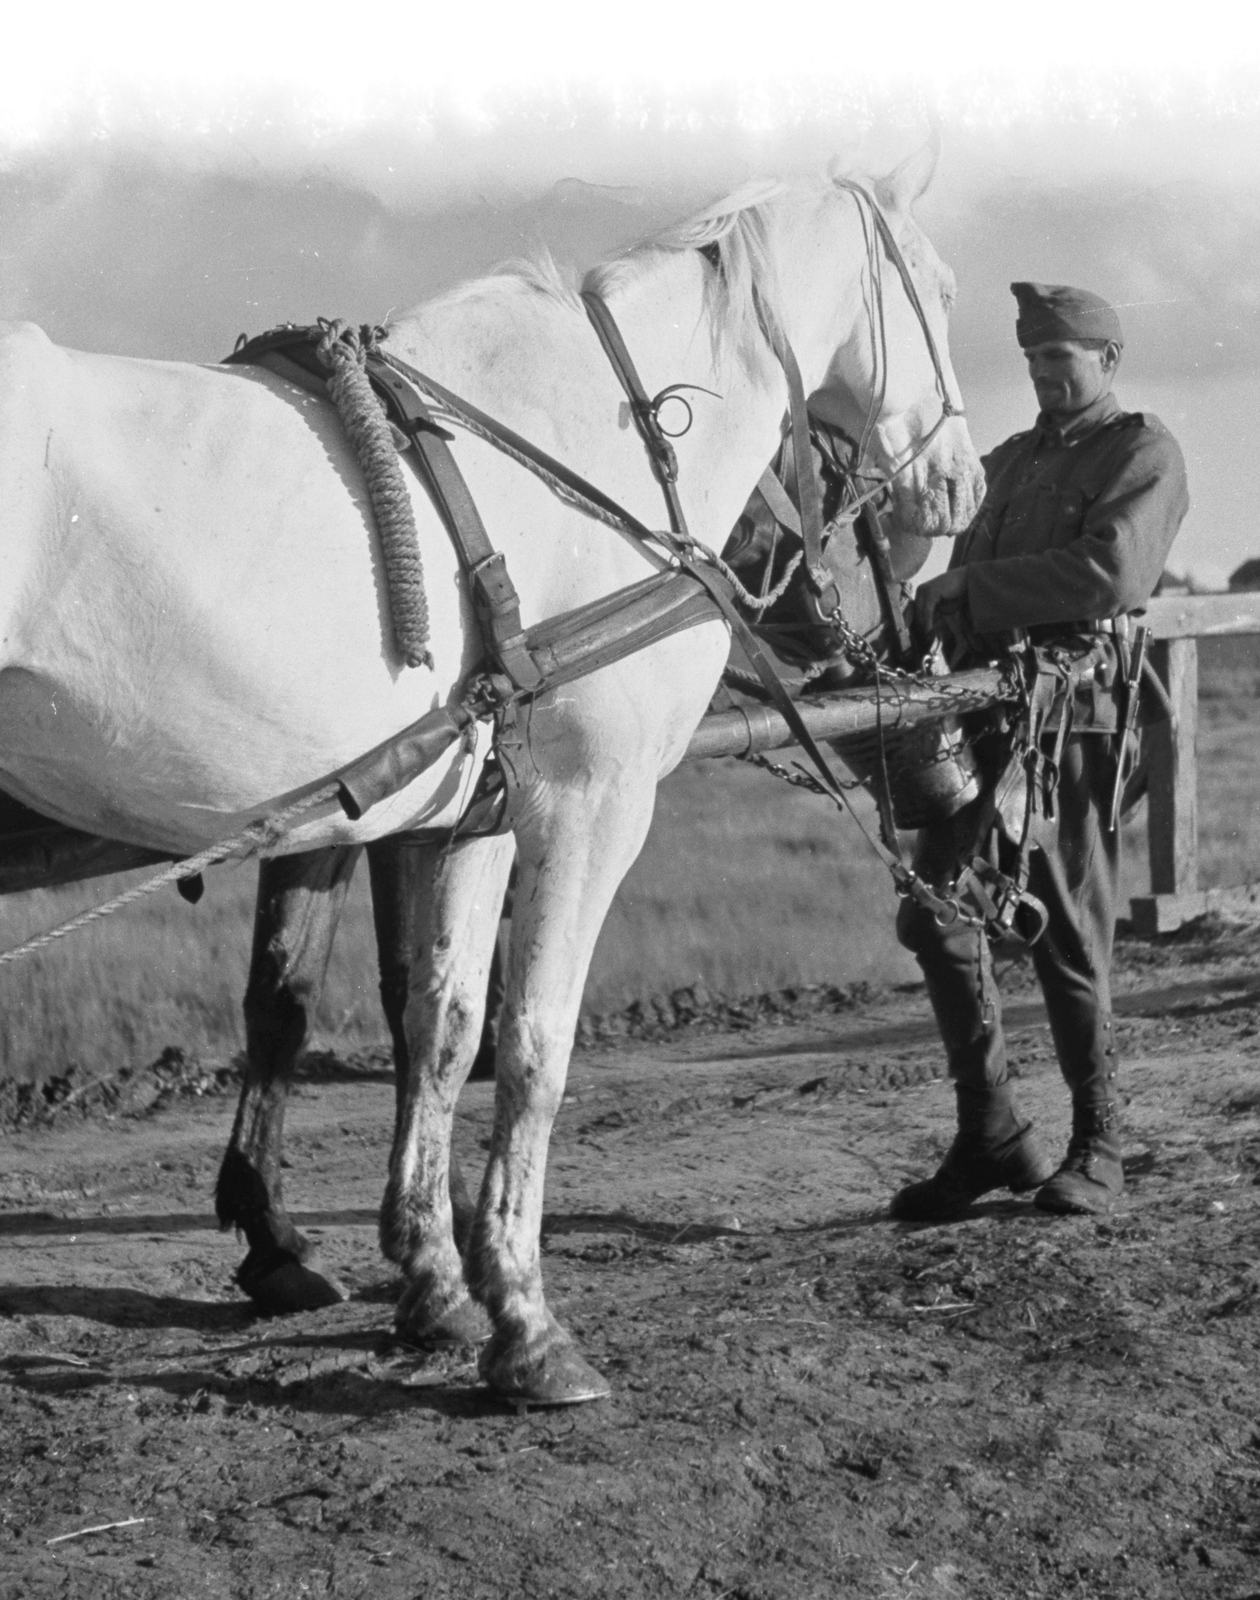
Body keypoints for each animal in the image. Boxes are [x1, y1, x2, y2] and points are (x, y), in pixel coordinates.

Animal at [0, 150, 984, 1401]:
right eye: (941, 292)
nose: (960, 488)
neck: (607, 446)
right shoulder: (590, 803)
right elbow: (533, 1044)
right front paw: (524, 1315)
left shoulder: (475, 815)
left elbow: (443, 1025)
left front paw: (434, 1283)